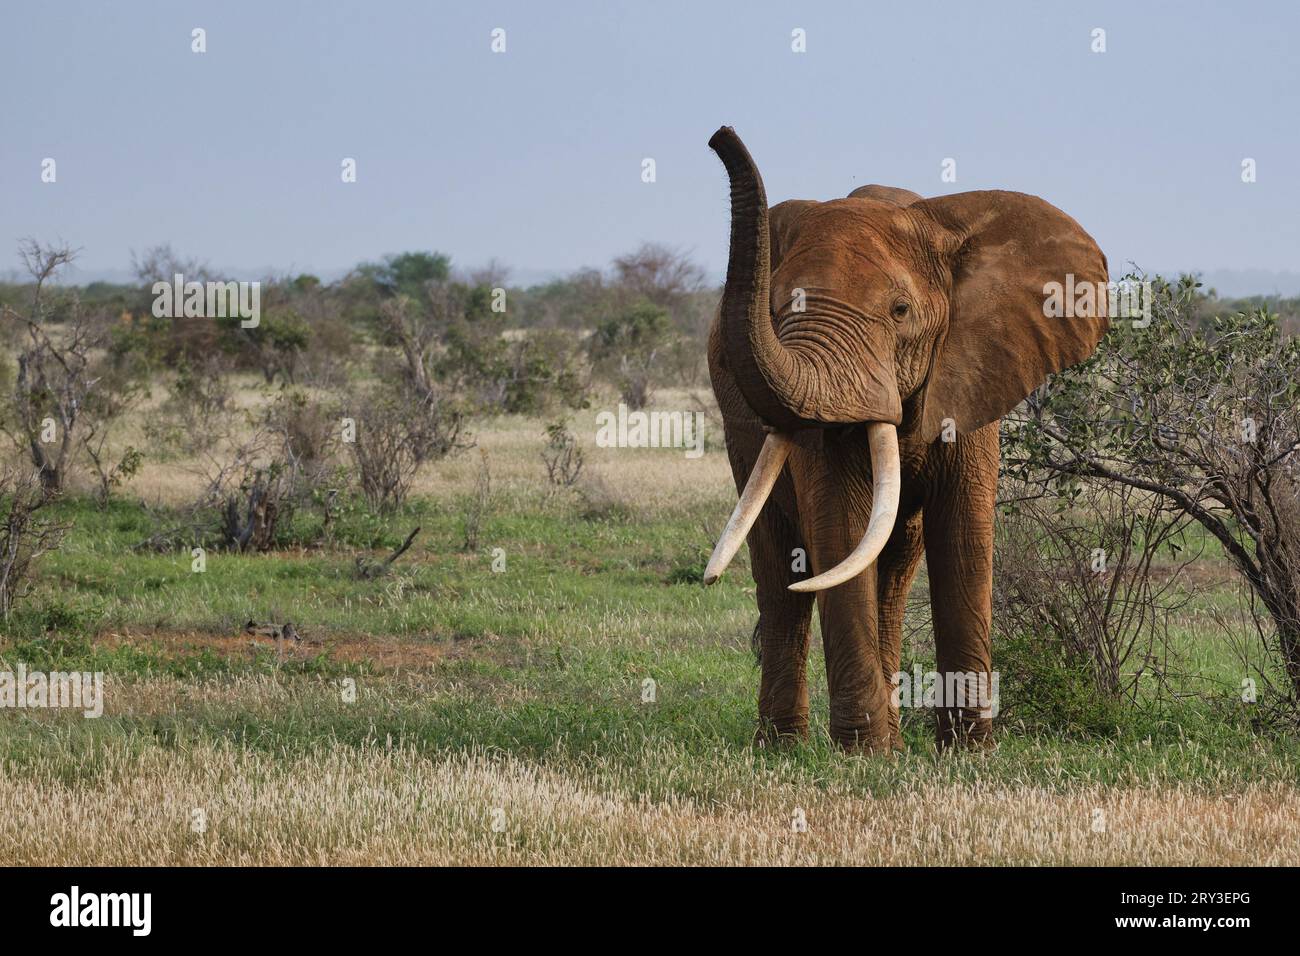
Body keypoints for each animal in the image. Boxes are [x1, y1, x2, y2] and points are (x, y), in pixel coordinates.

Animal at [702, 128, 1107, 754]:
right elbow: (841, 530)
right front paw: (864, 756)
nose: (719, 135)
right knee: (780, 575)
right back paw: (783, 747)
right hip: (741, 433)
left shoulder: (972, 369)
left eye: (899, 311)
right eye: (776, 309)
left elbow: (963, 535)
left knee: (892, 575)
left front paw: (968, 753)